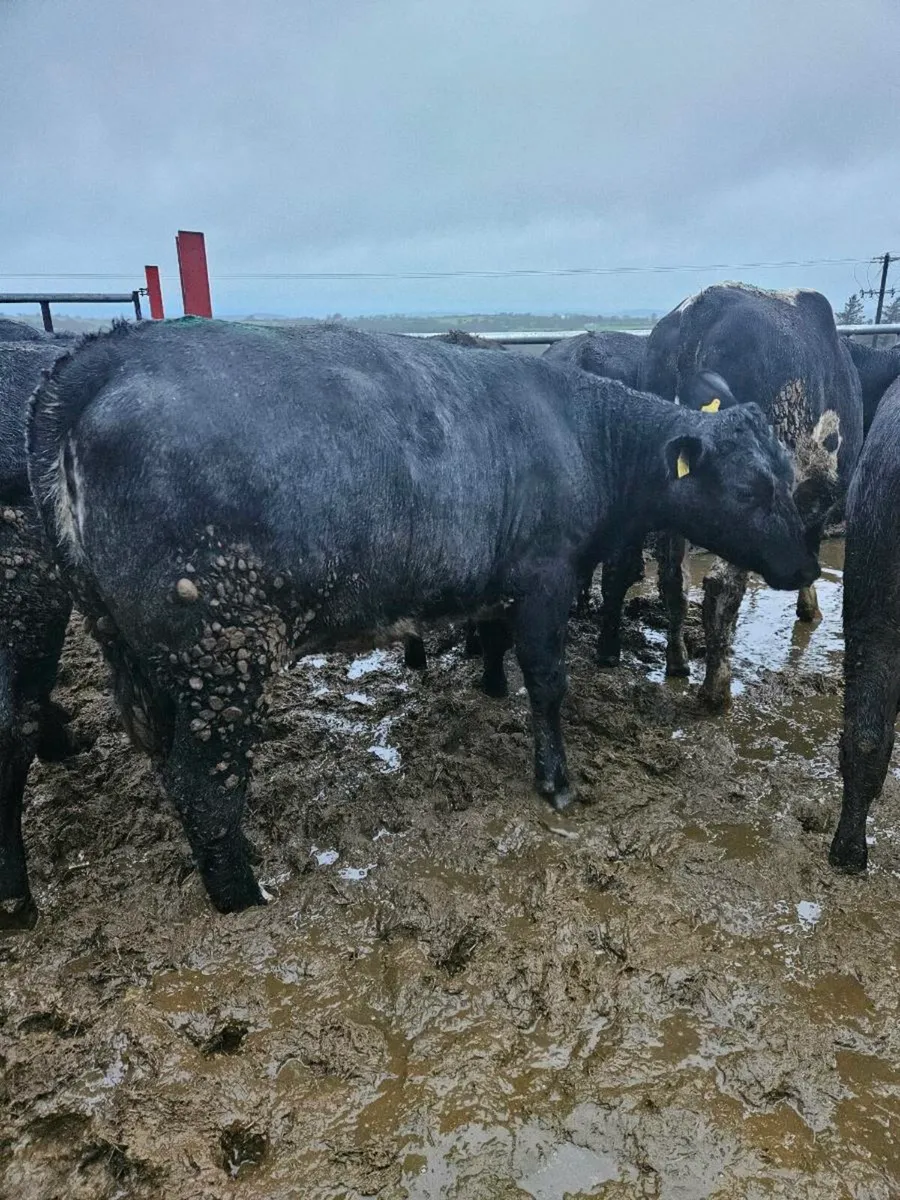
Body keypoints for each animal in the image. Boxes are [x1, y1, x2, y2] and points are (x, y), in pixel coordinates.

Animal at [25, 319, 818, 914]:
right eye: (748, 489)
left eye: (786, 474)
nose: (808, 567)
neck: (580, 433)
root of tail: (106, 358)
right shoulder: (544, 579)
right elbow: (549, 683)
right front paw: (556, 780)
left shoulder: (499, 584)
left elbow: (495, 646)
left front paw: (491, 689)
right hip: (219, 654)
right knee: (204, 782)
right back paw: (244, 896)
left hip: (140, 658)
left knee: (174, 771)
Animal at [623, 283, 864, 708]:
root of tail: (701, 308)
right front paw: (809, 608)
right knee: (721, 586)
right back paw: (716, 690)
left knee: (673, 579)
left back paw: (678, 662)